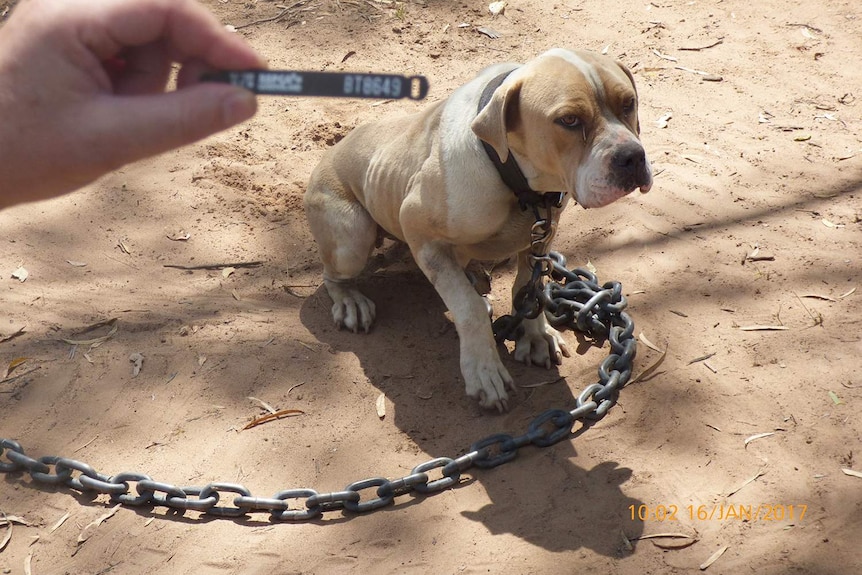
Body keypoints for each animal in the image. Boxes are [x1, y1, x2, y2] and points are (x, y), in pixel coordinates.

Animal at [308, 48, 652, 410]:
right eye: (569, 120)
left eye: (628, 103)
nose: (632, 157)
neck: (513, 173)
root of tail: (331, 151)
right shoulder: (419, 231)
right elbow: (467, 308)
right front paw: (484, 371)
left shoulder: (542, 235)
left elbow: (529, 287)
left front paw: (536, 335)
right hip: (351, 240)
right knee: (334, 276)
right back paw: (351, 301)